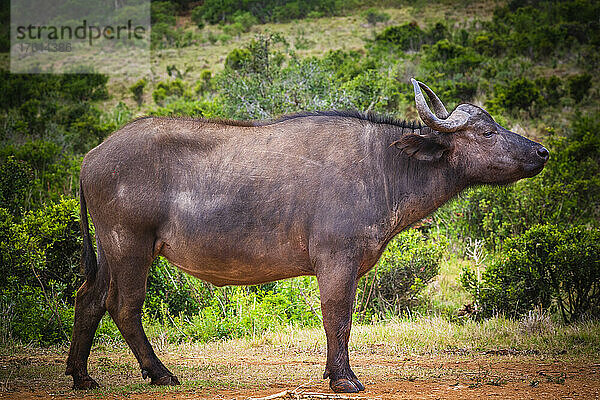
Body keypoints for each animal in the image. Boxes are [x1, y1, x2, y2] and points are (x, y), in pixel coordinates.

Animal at [65, 79, 548, 394]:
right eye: (487, 131)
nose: (542, 152)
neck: (383, 166)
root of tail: (94, 155)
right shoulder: (337, 260)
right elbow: (339, 316)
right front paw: (343, 378)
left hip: (110, 251)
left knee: (88, 299)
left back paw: (82, 376)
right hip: (131, 247)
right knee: (124, 307)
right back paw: (160, 373)